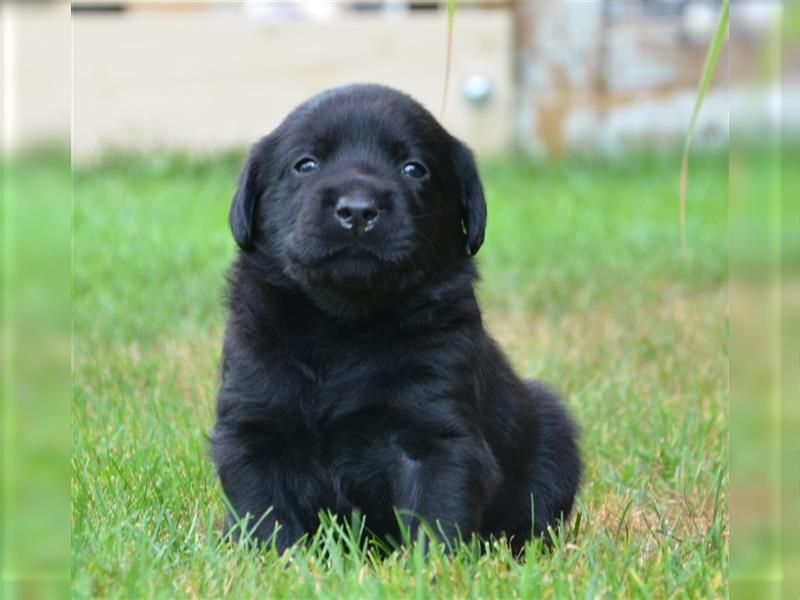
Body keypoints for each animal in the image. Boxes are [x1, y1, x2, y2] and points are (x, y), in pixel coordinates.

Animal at [209, 84, 580, 552]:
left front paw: (435, 565)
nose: (357, 210)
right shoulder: (253, 429)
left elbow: (437, 515)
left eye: (413, 168)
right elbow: (264, 515)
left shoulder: (436, 437)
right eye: (305, 164)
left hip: (554, 434)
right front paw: (274, 559)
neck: (342, 328)